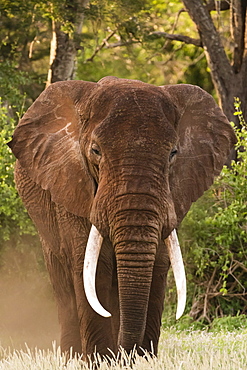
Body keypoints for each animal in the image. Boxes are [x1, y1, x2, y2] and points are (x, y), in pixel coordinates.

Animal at [7, 77, 235, 358]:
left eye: (173, 153)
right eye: (95, 151)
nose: (127, 353)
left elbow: (158, 264)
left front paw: (140, 360)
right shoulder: (72, 188)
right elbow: (93, 269)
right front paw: (101, 360)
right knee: (62, 280)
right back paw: (72, 357)